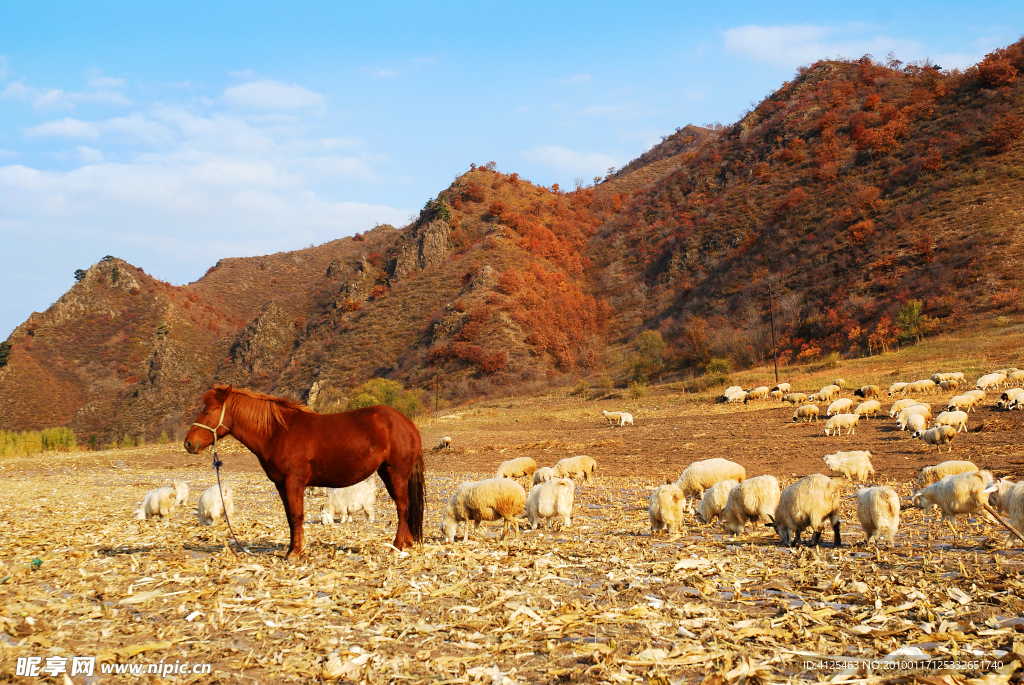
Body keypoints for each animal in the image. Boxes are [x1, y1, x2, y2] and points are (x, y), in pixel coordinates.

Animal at [184, 384, 423, 557]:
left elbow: (297, 515)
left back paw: (397, 545)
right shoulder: (281, 485)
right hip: (388, 473)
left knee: (403, 507)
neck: (278, 432)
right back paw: (407, 543)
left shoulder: (294, 482)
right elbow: (291, 517)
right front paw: (292, 549)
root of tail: (407, 423)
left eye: (209, 411)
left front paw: (295, 553)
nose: (189, 443)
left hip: (395, 474)